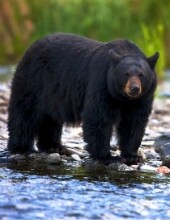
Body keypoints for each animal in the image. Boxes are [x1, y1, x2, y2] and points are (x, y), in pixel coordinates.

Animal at [7, 33, 159, 165]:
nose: (134, 89)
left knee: (50, 118)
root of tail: (31, 47)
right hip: (33, 80)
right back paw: (22, 147)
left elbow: (134, 122)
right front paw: (108, 157)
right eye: (126, 74)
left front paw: (132, 156)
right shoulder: (101, 83)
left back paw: (53, 146)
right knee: (25, 113)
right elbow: (98, 117)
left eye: (142, 75)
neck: (123, 98)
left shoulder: (142, 99)